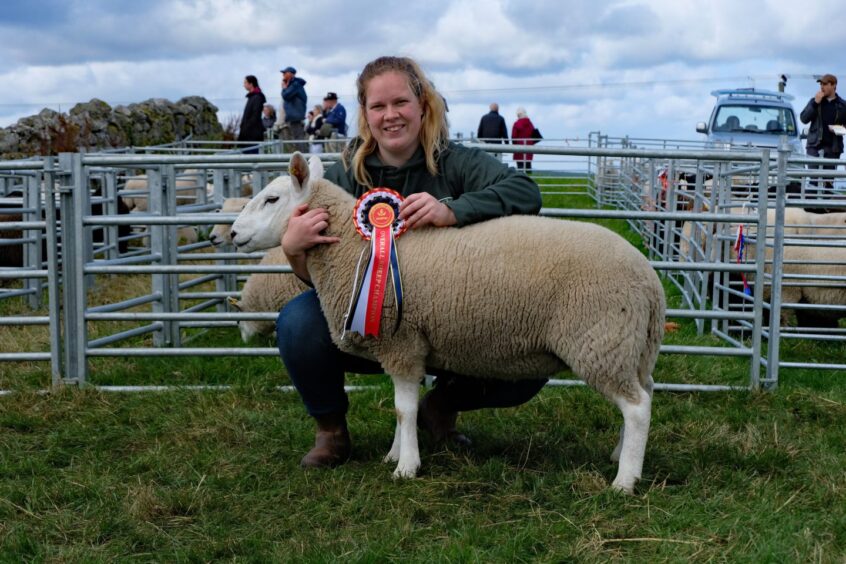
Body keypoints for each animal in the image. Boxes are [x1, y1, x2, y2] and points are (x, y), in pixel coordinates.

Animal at [229, 154, 664, 494]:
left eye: (271, 199)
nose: (232, 233)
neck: (356, 249)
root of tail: (649, 280)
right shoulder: (403, 347)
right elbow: (401, 408)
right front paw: (395, 453)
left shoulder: (401, 340)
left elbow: (403, 409)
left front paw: (407, 467)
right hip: (632, 346)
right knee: (644, 392)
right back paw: (619, 455)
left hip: (601, 339)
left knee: (637, 407)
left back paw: (625, 480)